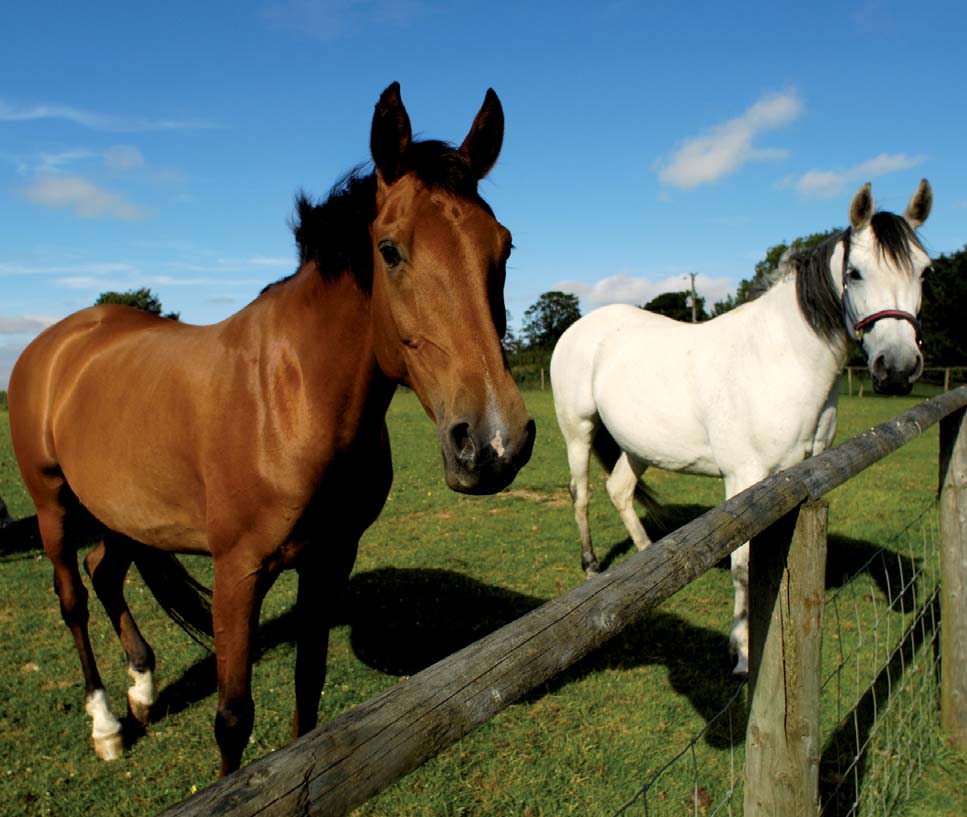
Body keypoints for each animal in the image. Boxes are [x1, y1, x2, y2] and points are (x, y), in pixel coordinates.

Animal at [5, 84, 536, 776]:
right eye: (390, 250)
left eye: (504, 248)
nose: (494, 444)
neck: (290, 399)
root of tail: (55, 343)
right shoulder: (239, 574)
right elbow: (233, 719)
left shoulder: (331, 558)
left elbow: (309, 686)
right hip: (53, 507)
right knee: (71, 598)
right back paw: (106, 724)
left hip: (120, 511)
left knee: (105, 573)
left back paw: (143, 688)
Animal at [556, 182, 932, 672]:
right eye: (855, 272)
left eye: (924, 272)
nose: (899, 367)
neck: (781, 356)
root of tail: (580, 326)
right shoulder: (744, 480)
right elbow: (742, 564)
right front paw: (742, 650)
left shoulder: (799, 479)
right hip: (578, 431)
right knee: (581, 494)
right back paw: (591, 566)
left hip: (638, 447)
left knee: (619, 490)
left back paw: (644, 556)